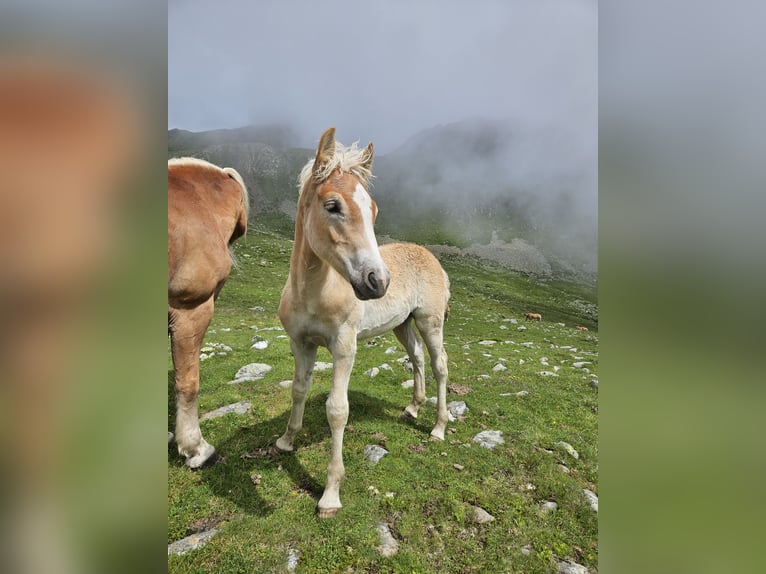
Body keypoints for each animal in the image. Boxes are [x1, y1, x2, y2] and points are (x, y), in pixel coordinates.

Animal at [280, 128, 452, 520]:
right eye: (332, 206)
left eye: (373, 210)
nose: (378, 281)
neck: (312, 292)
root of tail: (434, 260)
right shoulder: (300, 343)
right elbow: (298, 390)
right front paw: (286, 440)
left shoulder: (344, 347)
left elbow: (337, 410)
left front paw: (330, 495)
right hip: (403, 325)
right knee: (417, 359)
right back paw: (412, 408)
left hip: (430, 321)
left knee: (439, 365)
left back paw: (438, 427)